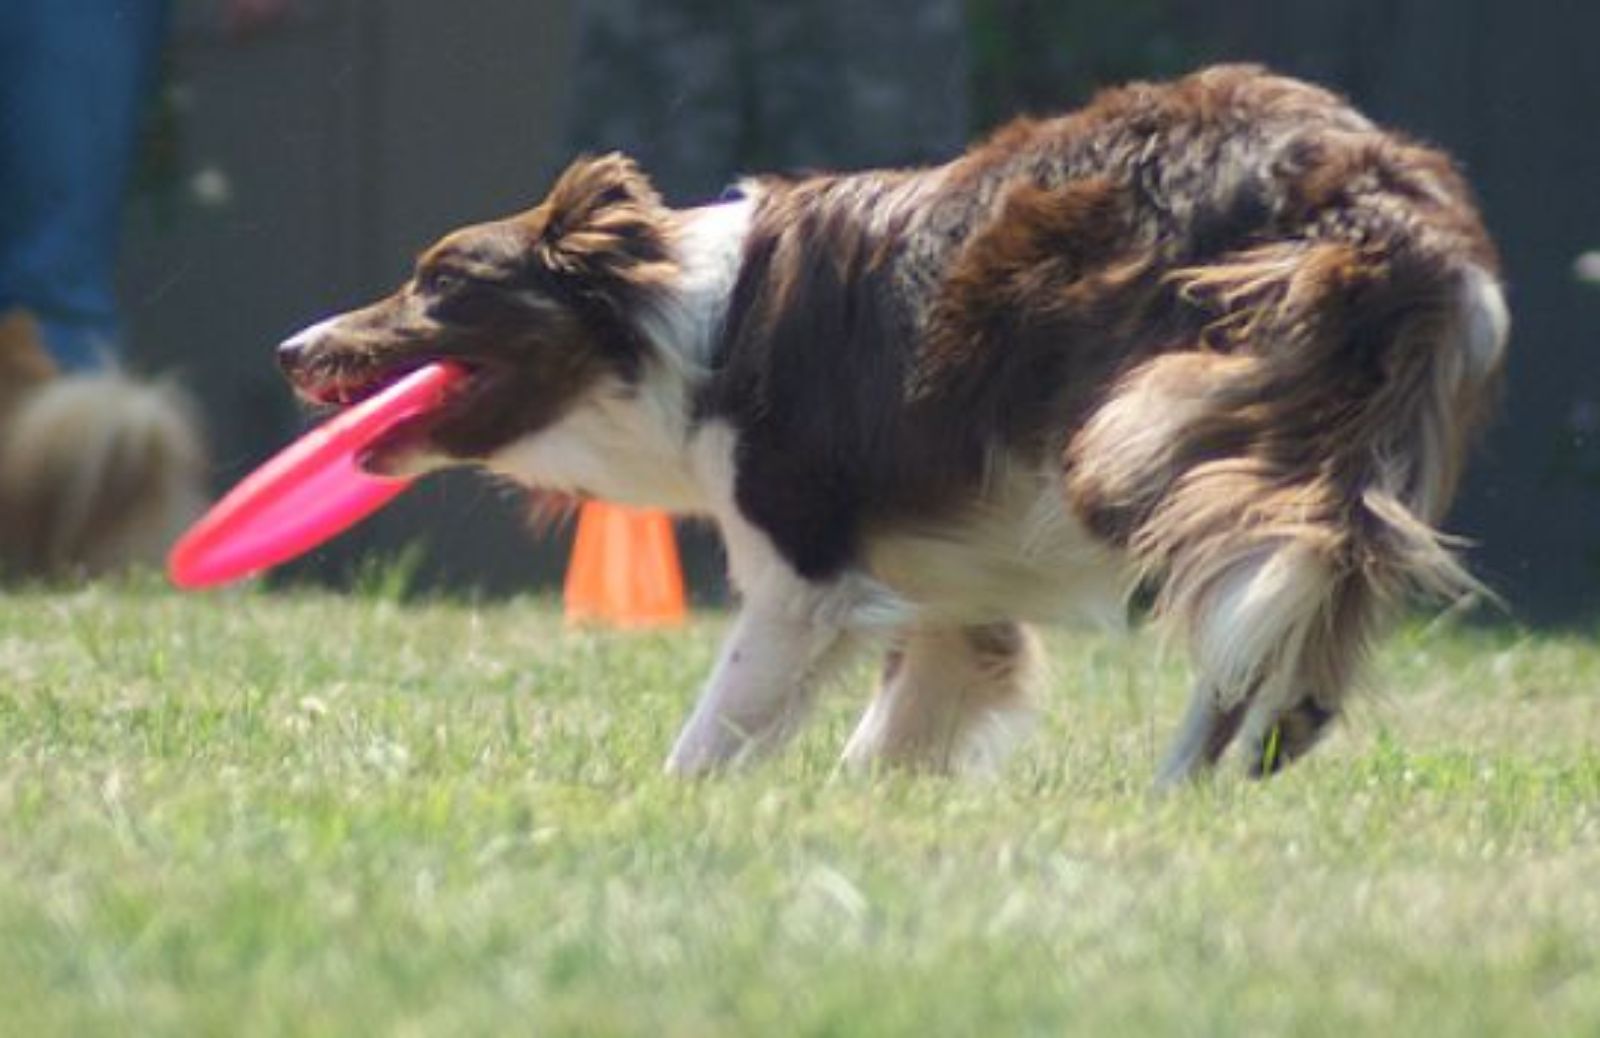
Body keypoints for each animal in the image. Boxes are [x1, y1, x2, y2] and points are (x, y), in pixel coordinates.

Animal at [278, 66, 1510, 777]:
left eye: (440, 282)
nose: (292, 349)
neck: (682, 329)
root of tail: (1380, 186)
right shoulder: (950, 596)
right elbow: (903, 728)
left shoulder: (804, 572)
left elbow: (718, 725)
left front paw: (674, 811)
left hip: (1144, 425)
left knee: (1270, 564)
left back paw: (1187, 785)